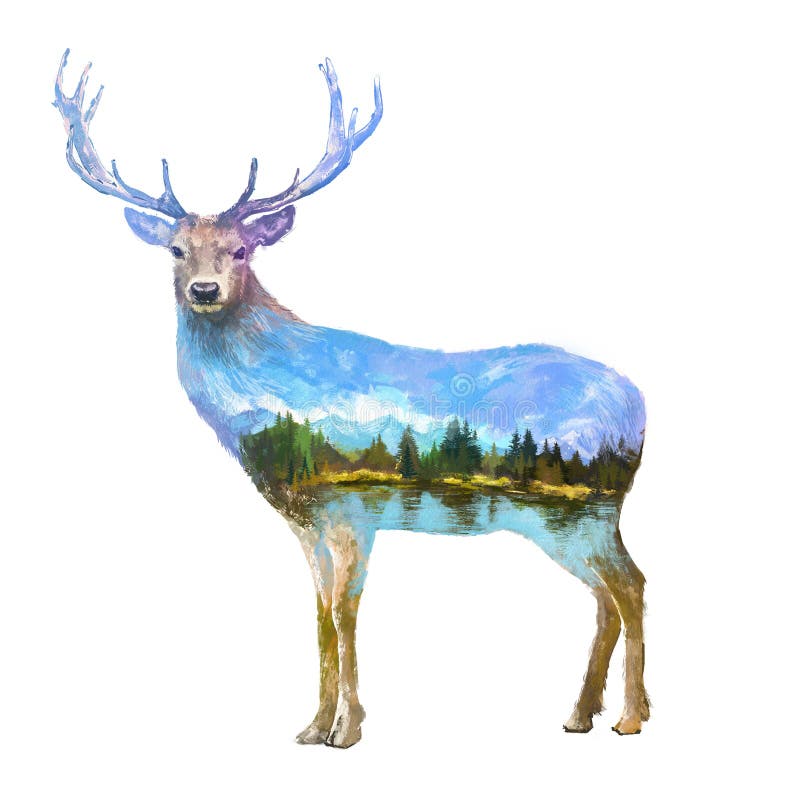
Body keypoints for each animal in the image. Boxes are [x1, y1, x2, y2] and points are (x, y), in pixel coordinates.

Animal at [54, 49, 649, 748]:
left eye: (241, 248)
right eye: (176, 249)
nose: (204, 289)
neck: (271, 408)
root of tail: (639, 405)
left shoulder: (349, 507)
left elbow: (344, 614)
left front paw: (347, 729)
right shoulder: (305, 519)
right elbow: (318, 617)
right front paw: (311, 726)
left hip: (585, 509)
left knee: (630, 586)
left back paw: (629, 717)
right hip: (572, 520)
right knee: (606, 597)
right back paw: (581, 714)